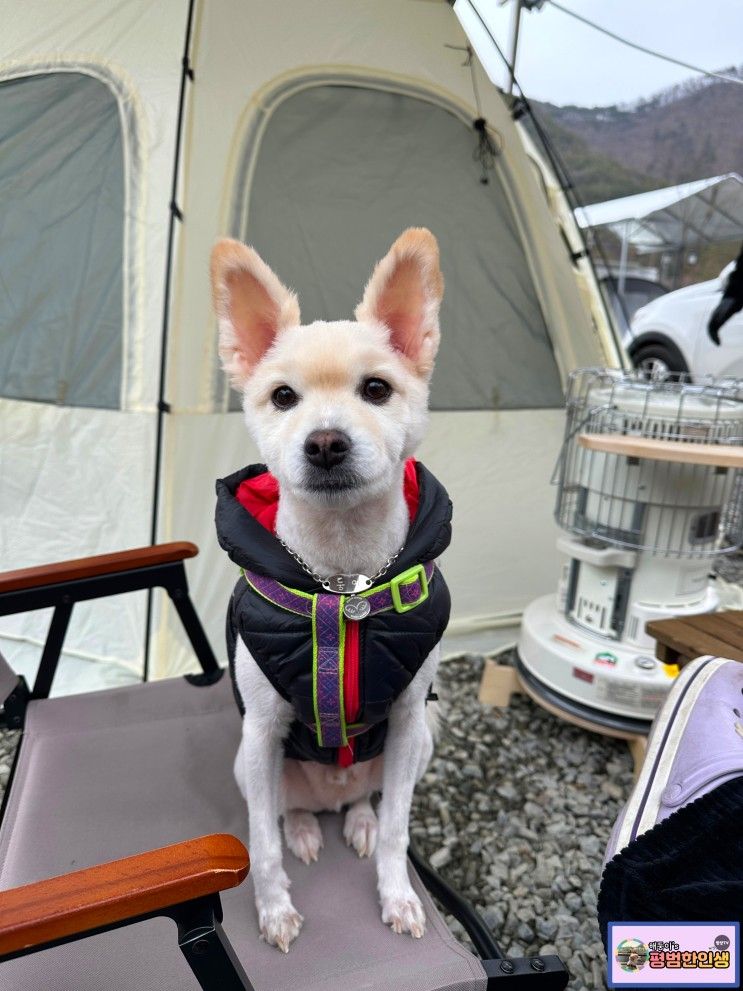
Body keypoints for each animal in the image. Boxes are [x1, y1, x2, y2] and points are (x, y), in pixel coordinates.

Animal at [212, 231, 450, 952]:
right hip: (249, 763)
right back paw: (304, 827)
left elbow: (400, 827)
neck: (342, 582)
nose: (324, 443)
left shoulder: (407, 720)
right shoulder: (262, 731)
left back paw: (357, 819)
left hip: (421, 741)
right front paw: (272, 911)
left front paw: (397, 895)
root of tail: (329, 791)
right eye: (282, 397)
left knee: (365, 799)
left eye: (376, 389)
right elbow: (260, 844)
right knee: (284, 810)